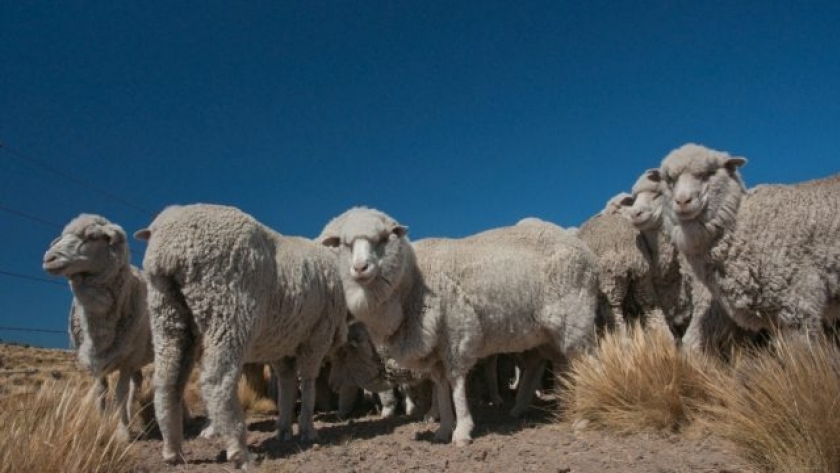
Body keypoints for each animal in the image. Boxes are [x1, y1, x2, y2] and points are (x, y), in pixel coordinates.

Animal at [42, 215, 152, 442]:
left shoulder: (126, 358)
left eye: (92, 237)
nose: (49, 258)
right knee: (137, 382)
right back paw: (132, 417)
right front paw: (103, 425)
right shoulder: (98, 358)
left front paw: (122, 432)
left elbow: (120, 392)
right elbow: (101, 391)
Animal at [136, 205, 346, 466]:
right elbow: (307, 381)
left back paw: (172, 451)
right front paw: (307, 429)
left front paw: (284, 428)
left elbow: (286, 382)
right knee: (217, 381)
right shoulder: (317, 335)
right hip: (229, 309)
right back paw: (239, 452)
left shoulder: (281, 341)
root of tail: (169, 251)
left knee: (167, 382)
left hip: (167, 315)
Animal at [320, 207, 604, 446]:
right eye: (345, 244)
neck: (412, 281)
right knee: (552, 364)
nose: (360, 268)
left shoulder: (456, 332)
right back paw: (545, 407)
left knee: (585, 362)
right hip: (549, 333)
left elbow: (456, 384)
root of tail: (584, 249)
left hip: (575, 316)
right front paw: (443, 428)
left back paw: (581, 419)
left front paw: (462, 431)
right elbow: (440, 387)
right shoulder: (434, 348)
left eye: (381, 239)